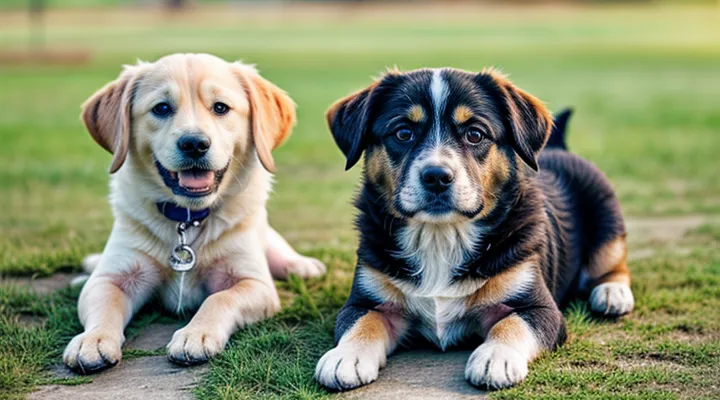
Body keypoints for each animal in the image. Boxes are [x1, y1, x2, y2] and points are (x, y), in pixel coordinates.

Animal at [64, 54, 326, 374]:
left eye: (221, 107)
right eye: (162, 108)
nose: (194, 144)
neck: (187, 218)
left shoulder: (254, 283)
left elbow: (219, 299)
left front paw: (195, 334)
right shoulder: (112, 277)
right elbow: (105, 305)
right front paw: (93, 339)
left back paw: (301, 265)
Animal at [316, 69, 636, 390]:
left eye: (475, 134)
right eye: (403, 133)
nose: (436, 177)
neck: (441, 236)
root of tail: (558, 148)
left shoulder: (538, 308)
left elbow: (512, 324)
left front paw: (496, 357)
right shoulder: (366, 300)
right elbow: (361, 323)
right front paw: (346, 356)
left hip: (607, 218)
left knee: (613, 262)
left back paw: (612, 293)